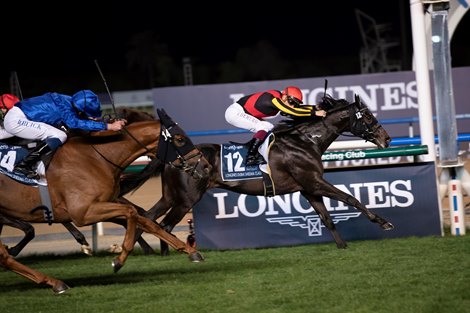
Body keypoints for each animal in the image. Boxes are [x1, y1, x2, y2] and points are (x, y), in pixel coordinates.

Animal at [0, 108, 211, 292]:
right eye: (180, 139)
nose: (206, 166)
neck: (95, 157)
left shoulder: (104, 203)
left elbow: (147, 221)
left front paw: (190, 251)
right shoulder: (83, 212)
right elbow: (132, 213)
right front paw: (119, 259)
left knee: (5, 254)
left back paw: (53, 282)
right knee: (6, 253)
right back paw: (53, 281)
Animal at [124, 94, 392, 254]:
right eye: (368, 116)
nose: (387, 138)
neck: (306, 141)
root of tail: (171, 157)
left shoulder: (308, 188)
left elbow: (326, 217)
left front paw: (342, 246)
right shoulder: (315, 182)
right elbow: (350, 198)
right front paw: (383, 222)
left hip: (170, 195)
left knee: (147, 217)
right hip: (186, 199)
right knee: (165, 225)